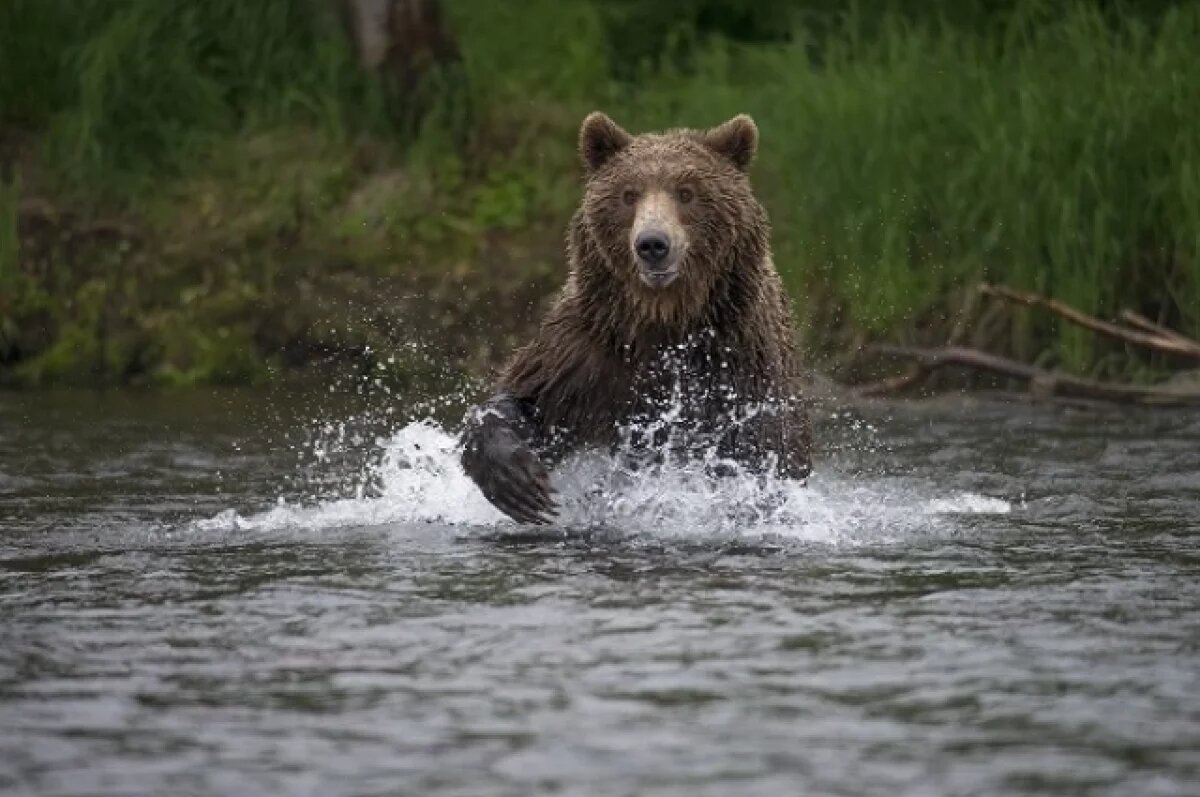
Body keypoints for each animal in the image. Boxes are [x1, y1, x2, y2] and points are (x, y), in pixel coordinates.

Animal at [458, 112, 816, 523]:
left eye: (687, 192)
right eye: (628, 194)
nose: (652, 244)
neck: (663, 319)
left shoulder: (737, 366)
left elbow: (752, 454)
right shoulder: (587, 352)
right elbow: (526, 400)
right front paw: (517, 481)